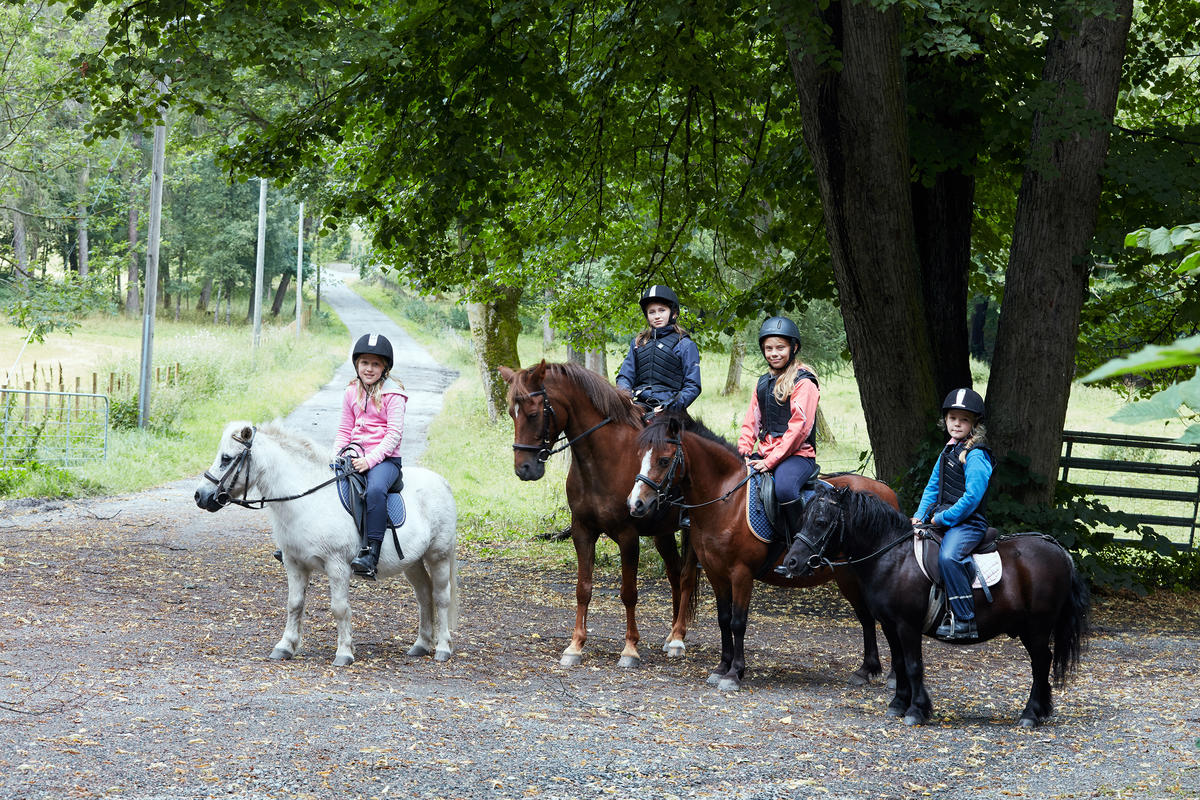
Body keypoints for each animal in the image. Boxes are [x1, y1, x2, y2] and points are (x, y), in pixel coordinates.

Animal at [194, 422, 460, 666]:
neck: (307, 501)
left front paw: (344, 653)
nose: (200, 496)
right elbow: (294, 604)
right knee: (424, 594)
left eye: (226, 458)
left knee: (441, 596)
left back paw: (442, 648)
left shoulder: (337, 566)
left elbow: (339, 608)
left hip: (438, 555)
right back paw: (421, 645)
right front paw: (285, 646)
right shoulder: (294, 563)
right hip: (412, 562)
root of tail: (443, 482)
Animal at [496, 362, 700, 671]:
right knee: (675, 573)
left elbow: (629, 593)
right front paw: (575, 646)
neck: (603, 459)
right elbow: (583, 588)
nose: (524, 469)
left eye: (533, 413)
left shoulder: (628, 537)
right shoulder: (583, 532)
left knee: (687, 577)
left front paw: (630, 649)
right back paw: (670, 635)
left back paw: (678, 638)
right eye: (511, 413)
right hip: (663, 533)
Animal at [624, 412, 897, 695]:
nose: (636, 504)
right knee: (866, 617)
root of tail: (885, 491)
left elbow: (738, 622)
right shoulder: (715, 573)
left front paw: (734, 673)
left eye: (663, 460)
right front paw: (721, 667)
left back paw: (891, 676)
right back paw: (866, 670)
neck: (726, 501)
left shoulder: (741, 574)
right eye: (640, 456)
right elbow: (723, 619)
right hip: (848, 577)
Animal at [777, 484, 1089, 729]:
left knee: (1040, 663)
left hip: (1037, 627)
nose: (791, 562)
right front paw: (898, 704)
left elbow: (914, 665)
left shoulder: (907, 625)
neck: (893, 556)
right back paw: (1041, 710)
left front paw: (916, 710)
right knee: (1043, 662)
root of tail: (1059, 550)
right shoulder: (889, 625)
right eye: (803, 519)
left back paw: (1030, 714)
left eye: (820, 521)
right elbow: (899, 663)